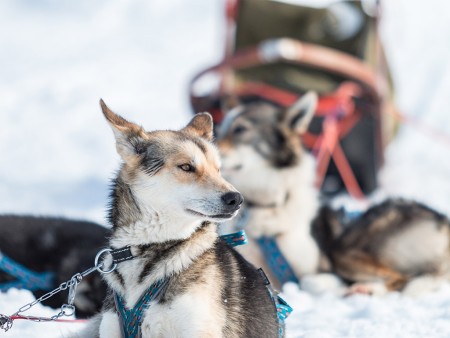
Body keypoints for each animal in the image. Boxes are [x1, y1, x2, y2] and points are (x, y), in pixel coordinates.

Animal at [216, 90, 450, 296]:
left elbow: (310, 281)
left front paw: (333, 287)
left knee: (400, 279)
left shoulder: (320, 265)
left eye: (240, 129)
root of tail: (441, 220)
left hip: (346, 250)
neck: (266, 207)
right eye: (220, 130)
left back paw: (365, 289)